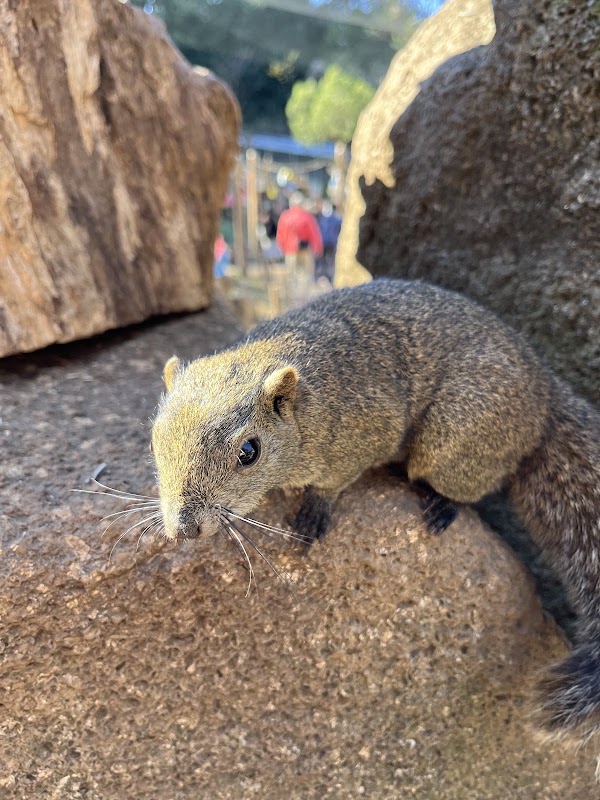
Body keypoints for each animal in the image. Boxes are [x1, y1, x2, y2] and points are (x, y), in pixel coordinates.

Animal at [151, 278, 600, 747]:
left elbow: (333, 482)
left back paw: (442, 505)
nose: (183, 529)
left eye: (249, 452)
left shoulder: (367, 429)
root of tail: (544, 393)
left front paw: (314, 510)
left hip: (454, 436)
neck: (308, 402)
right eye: (156, 435)